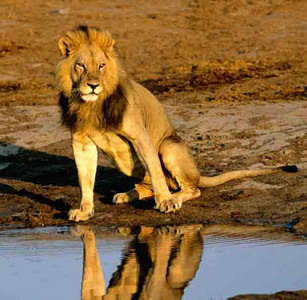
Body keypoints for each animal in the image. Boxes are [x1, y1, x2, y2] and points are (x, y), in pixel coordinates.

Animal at [57, 25, 298, 221]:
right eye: (81, 65)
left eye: (101, 66)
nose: (93, 86)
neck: (93, 105)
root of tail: (198, 173)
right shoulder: (81, 141)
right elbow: (85, 178)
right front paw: (84, 211)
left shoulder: (139, 134)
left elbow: (155, 170)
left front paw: (166, 202)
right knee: (147, 185)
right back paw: (127, 195)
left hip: (168, 146)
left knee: (191, 188)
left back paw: (175, 197)